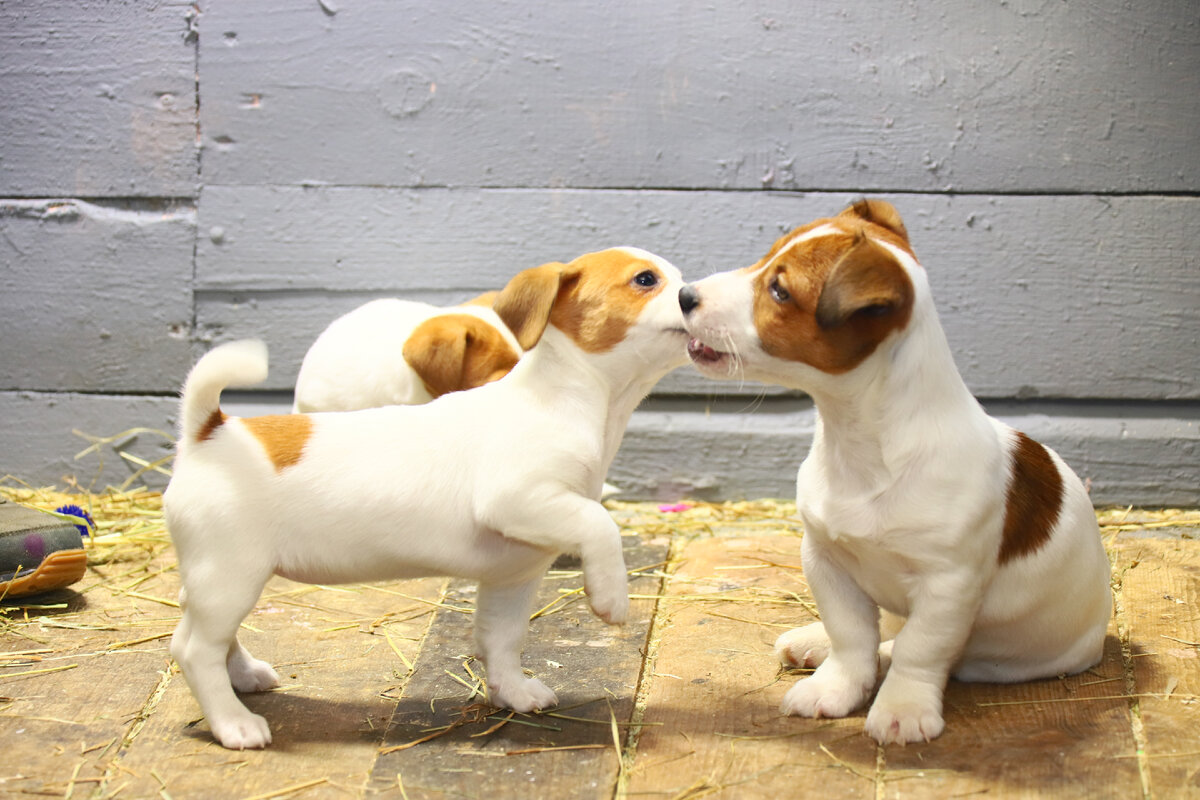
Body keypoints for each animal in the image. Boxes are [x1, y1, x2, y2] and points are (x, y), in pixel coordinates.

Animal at [681, 199, 1108, 743]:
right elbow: (851, 636)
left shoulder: (948, 587)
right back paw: (813, 642)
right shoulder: (825, 558)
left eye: (779, 289)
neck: (862, 446)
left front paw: (902, 707)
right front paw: (836, 683)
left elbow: (918, 651)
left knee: (905, 644)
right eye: (765, 258)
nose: (684, 295)